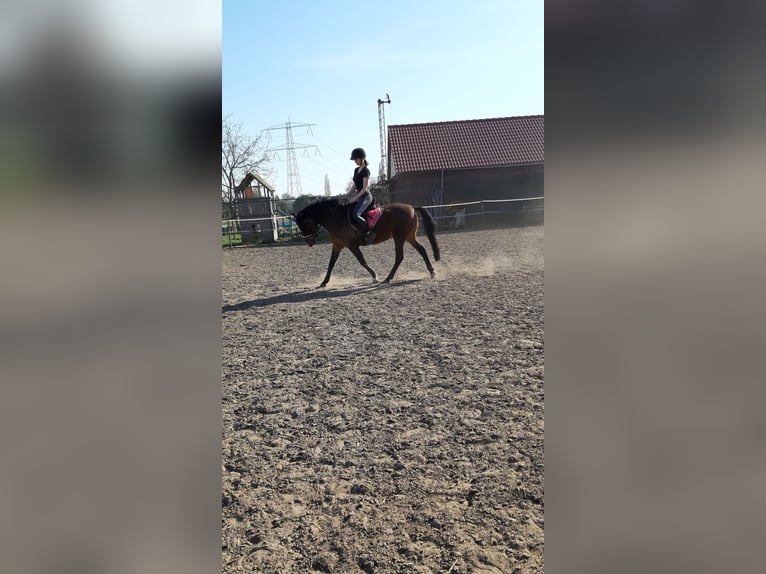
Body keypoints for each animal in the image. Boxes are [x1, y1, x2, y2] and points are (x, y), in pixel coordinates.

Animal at [292, 198, 441, 288]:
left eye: (305, 224)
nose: (309, 242)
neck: (336, 219)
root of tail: (411, 207)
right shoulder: (337, 245)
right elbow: (331, 264)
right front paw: (324, 282)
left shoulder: (352, 245)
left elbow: (362, 261)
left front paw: (375, 277)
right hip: (409, 237)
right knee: (422, 250)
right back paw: (432, 272)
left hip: (399, 237)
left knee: (399, 257)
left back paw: (388, 278)